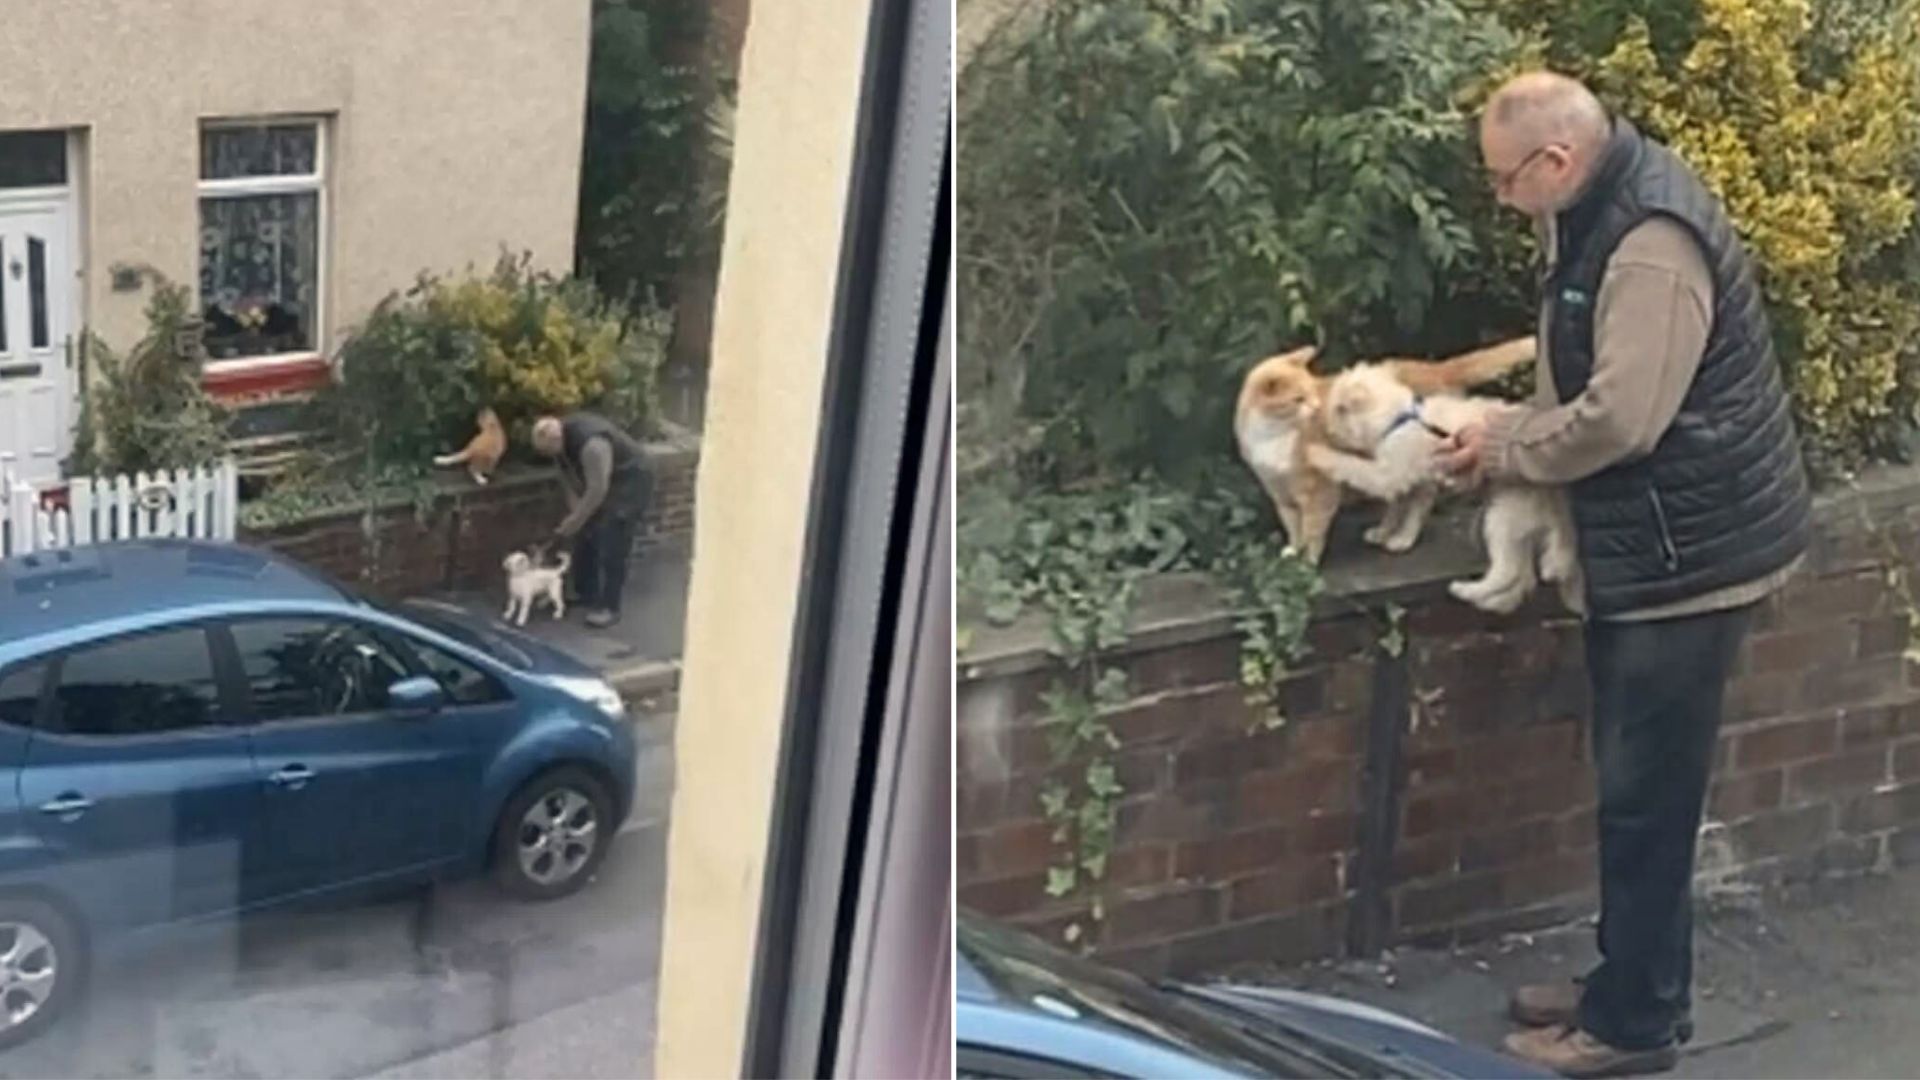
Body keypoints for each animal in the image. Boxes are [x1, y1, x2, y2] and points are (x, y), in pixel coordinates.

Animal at [1236, 336, 1536, 564]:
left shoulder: (1320, 493)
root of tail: (1437, 367)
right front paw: (1292, 553)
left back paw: (1402, 538)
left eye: (1311, 393)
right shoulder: (1279, 491)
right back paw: (1383, 532)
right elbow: (1292, 526)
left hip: (1417, 466)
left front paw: (1308, 564)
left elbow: (1312, 529)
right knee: (1397, 499)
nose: (1318, 408)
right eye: (1299, 398)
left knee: (1419, 501)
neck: (1272, 434)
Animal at [1305, 361, 1589, 614]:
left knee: (1507, 570)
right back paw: (1493, 601)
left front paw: (1317, 453)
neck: (1400, 419)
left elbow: (1352, 466)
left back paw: (1466, 591)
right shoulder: (1414, 479)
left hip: (1504, 515)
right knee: (1522, 574)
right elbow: (1401, 509)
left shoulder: (1389, 474)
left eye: (1335, 409)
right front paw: (1388, 533)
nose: (1326, 428)